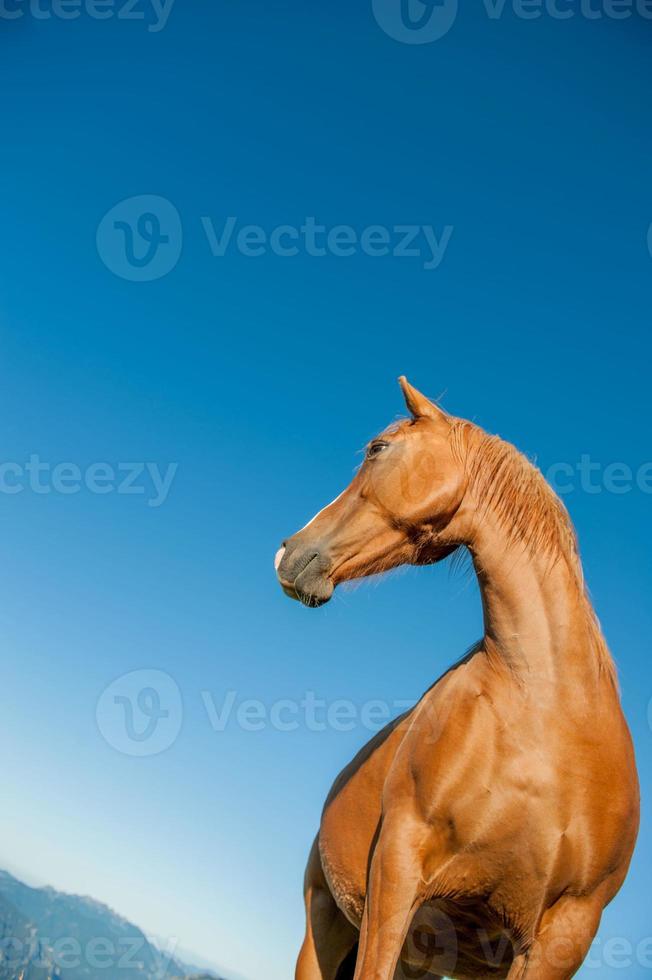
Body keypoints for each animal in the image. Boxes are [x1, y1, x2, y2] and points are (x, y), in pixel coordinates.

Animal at [274, 380, 636, 980]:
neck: (550, 718)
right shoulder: (398, 865)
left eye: (378, 448)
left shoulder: (565, 934)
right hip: (324, 922)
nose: (288, 551)